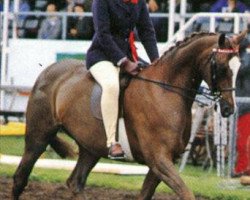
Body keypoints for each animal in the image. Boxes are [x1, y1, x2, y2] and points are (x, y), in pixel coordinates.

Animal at [11, 30, 246, 200]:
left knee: (75, 182)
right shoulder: (159, 160)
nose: (229, 109)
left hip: (91, 148)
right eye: (221, 67)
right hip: (38, 137)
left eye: (239, 67)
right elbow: (186, 194)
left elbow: (145, 195)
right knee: (20, 178)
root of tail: (49, 71)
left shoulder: (162, 163)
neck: (166, 91)